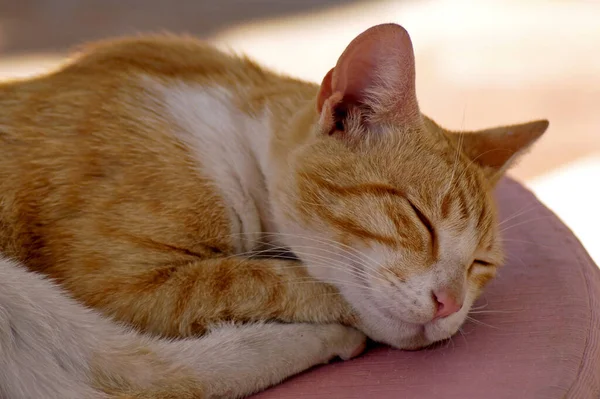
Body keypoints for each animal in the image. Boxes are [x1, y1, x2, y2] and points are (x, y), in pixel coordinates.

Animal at [0, 23, 548, 398]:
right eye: (418, 218)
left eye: (480, 265)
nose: (450, 304)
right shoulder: (121, 284)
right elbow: (267, 280)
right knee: (159, 377)